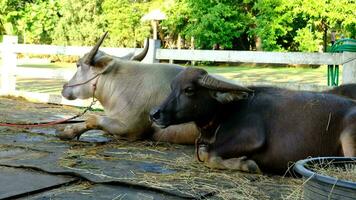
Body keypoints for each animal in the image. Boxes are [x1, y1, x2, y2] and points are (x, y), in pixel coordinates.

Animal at [151, 67, 356, 173]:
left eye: (189, 90)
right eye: (172, 87)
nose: (154, 114)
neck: (225, 114)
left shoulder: (252, 137)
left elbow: (209, 154)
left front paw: (247, 165)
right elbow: (204, 152)